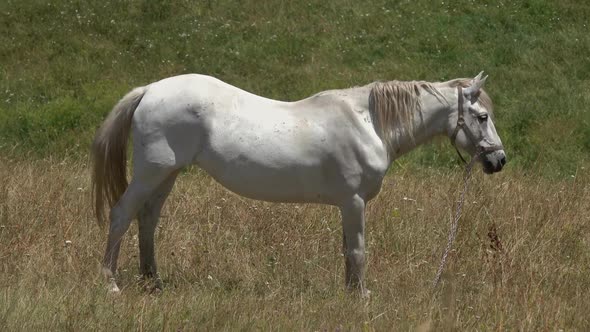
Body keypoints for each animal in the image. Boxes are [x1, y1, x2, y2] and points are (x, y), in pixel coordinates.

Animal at [91, 72, 504, 294]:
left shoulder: (346, 205)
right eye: (482, 116)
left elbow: (347, 251)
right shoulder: (354, 201)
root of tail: (149, 90)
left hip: (167, 175)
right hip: (151, 173)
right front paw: (362, 297)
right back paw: (110, 283)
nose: (499, 160)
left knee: (147, 220)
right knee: (121, 215)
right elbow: (358, 251)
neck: (368, 122)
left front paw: (349, 293)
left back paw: (154, 282)